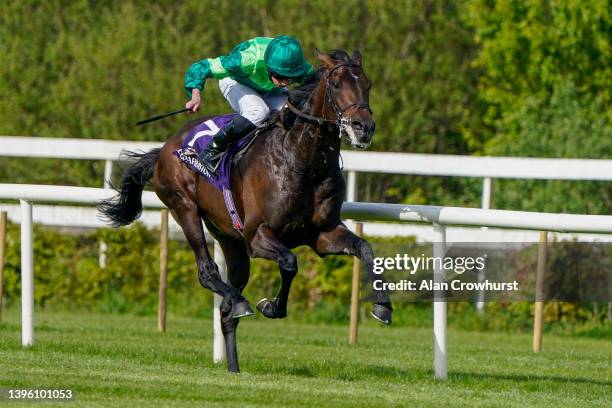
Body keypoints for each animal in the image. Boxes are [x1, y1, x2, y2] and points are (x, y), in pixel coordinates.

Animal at [97, 48, 392, 372]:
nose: (364, 127)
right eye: (336, 85)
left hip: (229, 239)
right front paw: (271, 306)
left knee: (227, 310)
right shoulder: (257, 236)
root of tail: (164, 148)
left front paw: (382, 306)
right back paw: (240, 303)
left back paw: (234, 365)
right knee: (208, 273)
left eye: (368, 84)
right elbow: (290, 262)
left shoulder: (323, 235)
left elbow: (365, 248)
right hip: (184, 207)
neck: (303, 161)